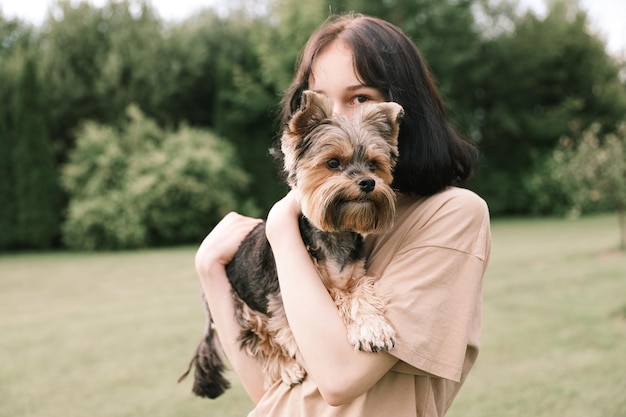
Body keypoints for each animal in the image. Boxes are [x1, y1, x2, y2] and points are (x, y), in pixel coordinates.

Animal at [179, 90, 404, 396]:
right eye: (333, 163)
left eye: (373, 164)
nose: (368, 182)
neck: (335, 234)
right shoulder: (283, 298)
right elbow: (334, 298)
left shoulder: (355, 276)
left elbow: (360, 293)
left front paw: (372, 328)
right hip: (243, 306)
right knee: (259, 341)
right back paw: (286, 368)